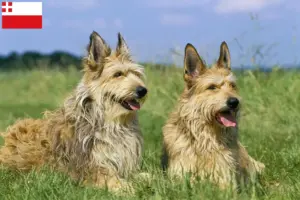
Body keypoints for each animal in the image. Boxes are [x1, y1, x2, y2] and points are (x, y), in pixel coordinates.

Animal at [0, 30, 148, 191]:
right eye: (118, 74)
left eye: (136, 74)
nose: (143, 90)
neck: (109, 121)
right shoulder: (94, 171)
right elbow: (120, 183)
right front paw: (133, 189)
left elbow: (147, 176)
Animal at [162, 41, 264, 189]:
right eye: (212, 87)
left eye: (232, 85)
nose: (234, 102)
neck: (205, 138)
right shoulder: (179, 176)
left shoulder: (225, 178)